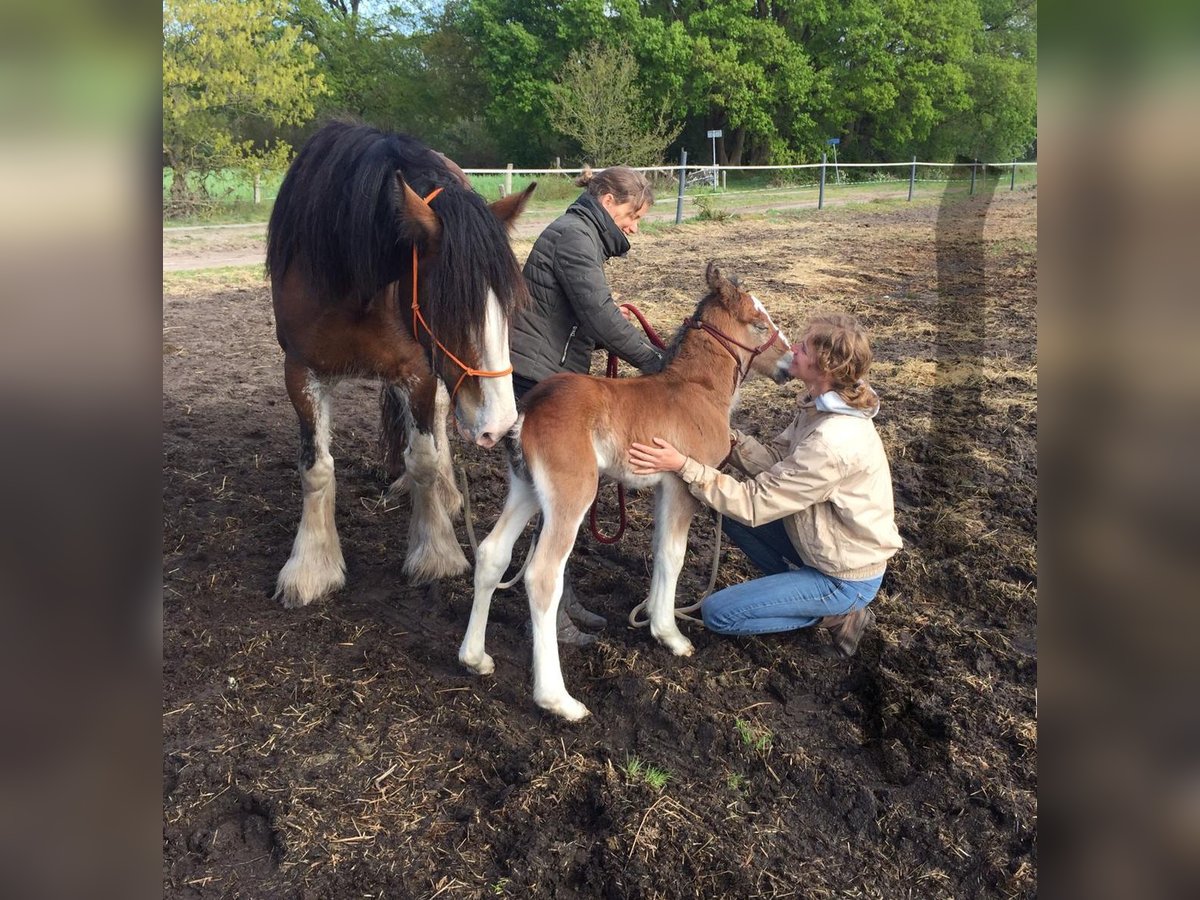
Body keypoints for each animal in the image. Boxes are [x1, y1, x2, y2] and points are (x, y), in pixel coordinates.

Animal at [272, 120, 540, 609]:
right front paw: (312, 566)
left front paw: (435, 552)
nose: (501, 424)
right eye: (450, 307)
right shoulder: (300, 373)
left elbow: (425, 460)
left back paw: (448, 494)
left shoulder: (418, 370)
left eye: (508, 307)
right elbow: (317, 467)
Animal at [458, 264, 796, 724]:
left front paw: (652, 618)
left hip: (526, 488)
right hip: (572, 494)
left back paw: (475, 658)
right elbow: (674, 554)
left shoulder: (663, 485)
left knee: (493, 553)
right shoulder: (684, 487)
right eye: (760, 323)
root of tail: (530, 408)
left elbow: (658, 548)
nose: (791, 361)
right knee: (542, 575)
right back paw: (559, 700)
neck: (695, 389)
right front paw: (671, 635)